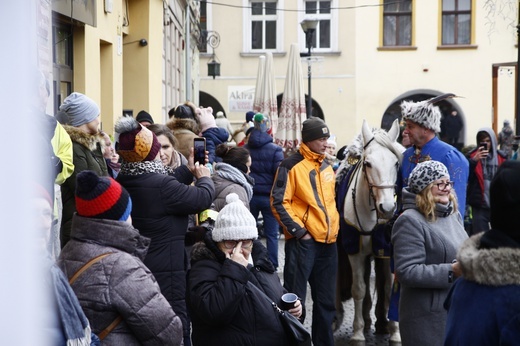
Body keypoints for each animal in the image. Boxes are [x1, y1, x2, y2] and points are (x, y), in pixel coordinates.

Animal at [340, 119, 404, 344]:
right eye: (367, 163)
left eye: (396, 163)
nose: (388, 207)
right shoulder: (355, 251)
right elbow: (359, 289)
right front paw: (358, 332)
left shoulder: (388, 251)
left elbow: (390, 290)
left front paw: (395, 332)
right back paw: (367, 321)